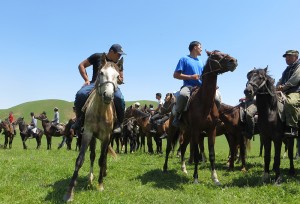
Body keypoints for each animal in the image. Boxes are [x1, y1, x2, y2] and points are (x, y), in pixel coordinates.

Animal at [63, 54, 120, 202]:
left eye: (117, 76)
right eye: (101, 73)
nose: (108, 95)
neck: (101, 111)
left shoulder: (106, 137)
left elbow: (101, 159)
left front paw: (100, 185)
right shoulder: (88, 134)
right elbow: (80, 160)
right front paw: (69, 192)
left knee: (103, 157)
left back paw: (103, 173)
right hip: (93, 137)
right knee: (93, 155)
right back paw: (90, 178)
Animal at [163, 49, 238, 185]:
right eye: (215, 55)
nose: (233, 61)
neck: (204, 102)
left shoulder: (211, 130)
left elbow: (211, 154)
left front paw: (215, 178)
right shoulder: (197, 131)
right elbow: (197, 154)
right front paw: (196, 178)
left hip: (187, 132)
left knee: (183, 148)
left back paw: (184, 169)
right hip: (174, 130)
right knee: (168, 148)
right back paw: (165, 168)